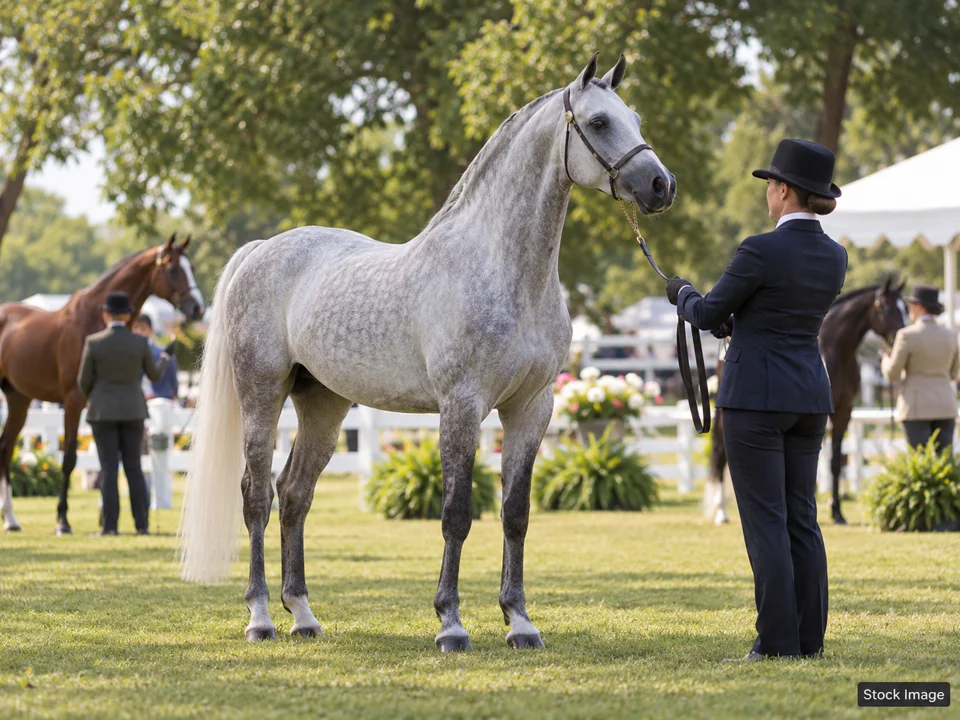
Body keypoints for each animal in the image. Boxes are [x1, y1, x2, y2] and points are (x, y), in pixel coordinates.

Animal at [0, 234, 204, 535]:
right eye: (172, 269)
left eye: (191, 266)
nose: (198, 308)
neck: (92, 320)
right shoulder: (74, 400)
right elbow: (70, 459)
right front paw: (63, 521)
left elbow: (108, 460)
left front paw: (105, 516)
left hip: (19, 398)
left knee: (6, 447)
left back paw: (11, 518)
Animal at [178, 53, 676, 652]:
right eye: (599, 122)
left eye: (637, 118)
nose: (661, 185)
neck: (503, 270)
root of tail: (260, 250)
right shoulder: (461, 406)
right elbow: (456, 514)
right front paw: (451, 624)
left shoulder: (532, 408)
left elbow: (515, 514)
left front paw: (520, 622)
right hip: (261, 394)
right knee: (257, 496)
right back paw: (260, 618)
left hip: (324, 404)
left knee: (295, 493)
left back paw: (303, 615)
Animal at [705, 278, 905, 526]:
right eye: (886, 307)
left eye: (905, 307)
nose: (901, 337)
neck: (835, 351)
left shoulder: (843, 412)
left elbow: (835, 462)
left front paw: (837, 511)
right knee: (720, 454)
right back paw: (721, 512)